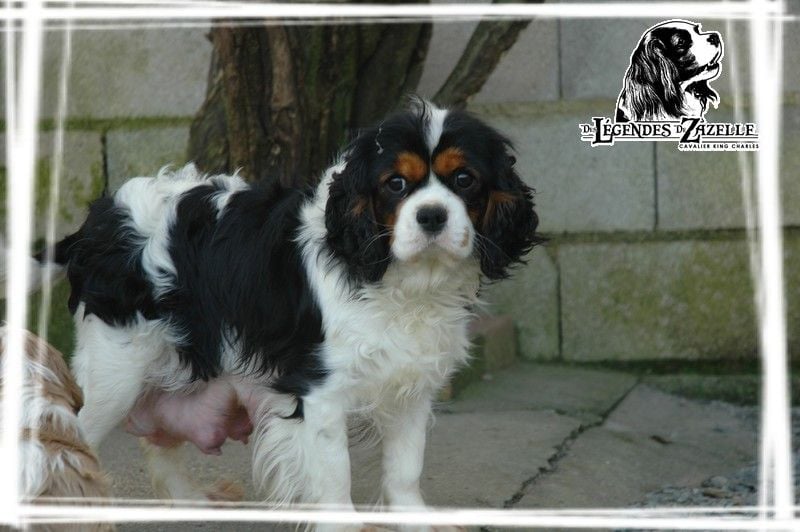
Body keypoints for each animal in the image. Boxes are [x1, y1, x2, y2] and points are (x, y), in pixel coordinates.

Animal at [36, 99, 541, 530]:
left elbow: (406, 466)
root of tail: (98, 221)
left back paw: (191, 500)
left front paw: (414, 519)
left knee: (157, 439)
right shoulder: (320, 391)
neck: (402, 280)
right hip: (116, 368)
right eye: (396, 184)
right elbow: (336, 475)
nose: (433, 216)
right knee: (72, 434)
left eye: (465, 180)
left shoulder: (411, 386)